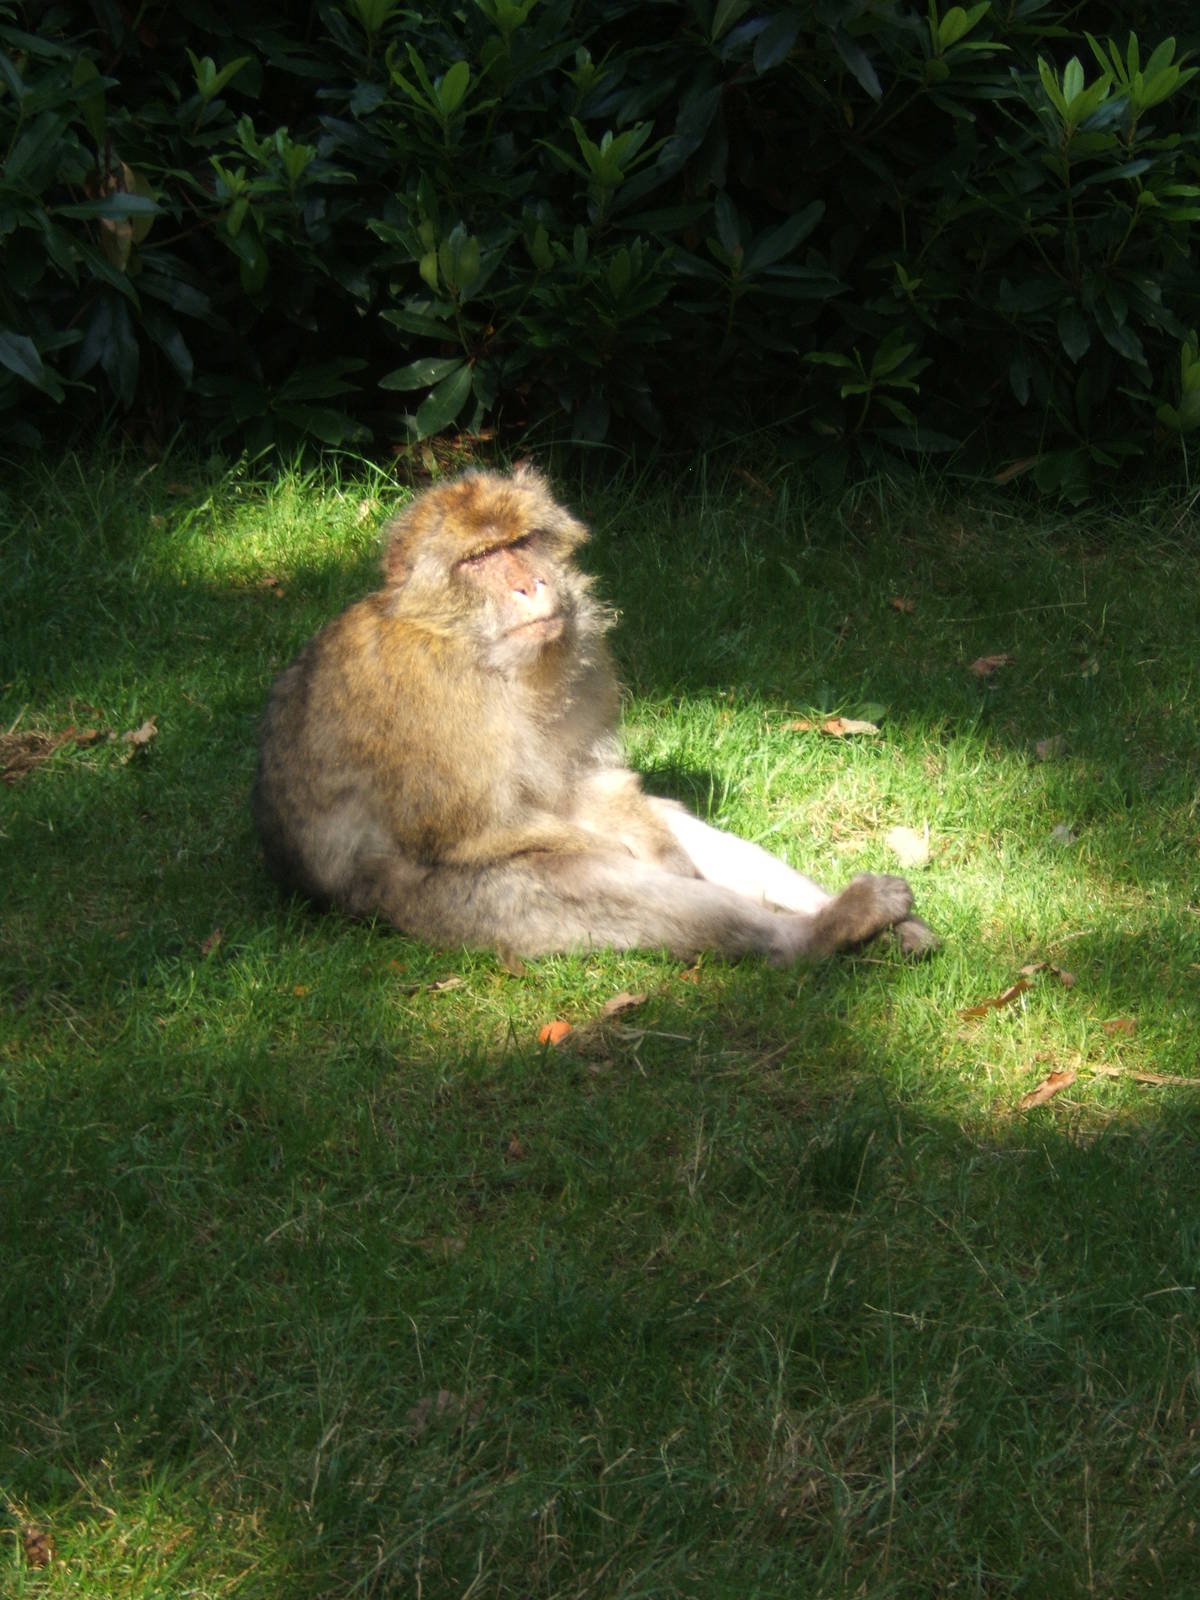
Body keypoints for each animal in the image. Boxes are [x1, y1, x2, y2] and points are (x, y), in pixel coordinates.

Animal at [253, 464, 937, 965]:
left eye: (521, 542)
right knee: (580, 880)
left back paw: (879, 925)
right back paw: (820, 933)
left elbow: (588, 787)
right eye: (480, 558)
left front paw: (650, 835)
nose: (529, 584)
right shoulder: (423, 695)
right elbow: (470, 832)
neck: (475, 650)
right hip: (450, 908)